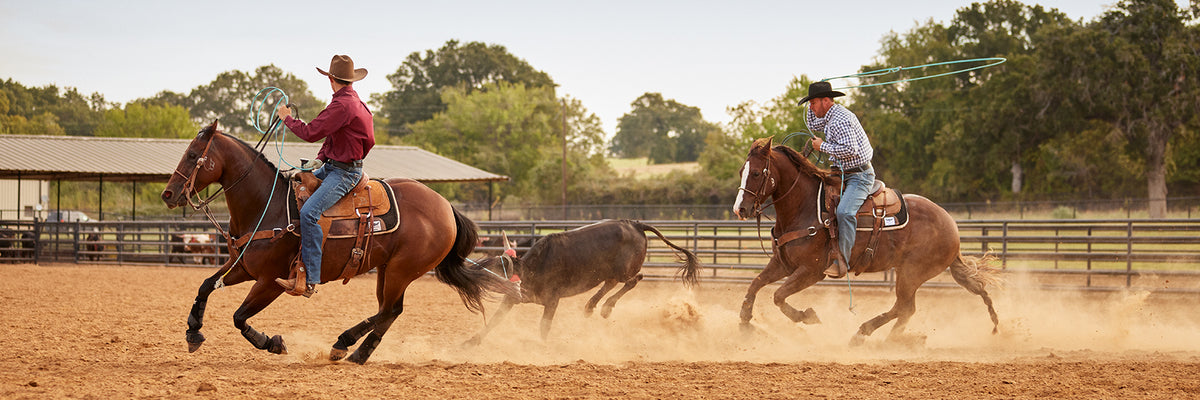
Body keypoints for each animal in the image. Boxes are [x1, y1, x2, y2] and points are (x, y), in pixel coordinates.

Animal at [159, 120, 516, 362]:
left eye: (192, 154)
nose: (168, 194)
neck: (267, 206)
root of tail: (444, 206)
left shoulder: (271, 280)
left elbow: (239, 317)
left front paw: (273, 343)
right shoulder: (243, 265)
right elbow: (206, 285)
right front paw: (193, 330)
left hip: (402, 270)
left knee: (390, 310)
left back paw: (347, 346)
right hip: (387, 268)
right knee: (389, 311)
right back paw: (352, 350)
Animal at [729, 136, 1003, 343]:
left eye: (756, 172)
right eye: (742, 171)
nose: (740, 209)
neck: (804, 207)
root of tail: (951, 226)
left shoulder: (812, 270)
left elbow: (778, 295)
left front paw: (808, 316)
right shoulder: (783, 264)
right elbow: (755, 285)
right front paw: (744, 324)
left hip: (912, 272)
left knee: (904, 307)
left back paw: (863, 334)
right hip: (908, 272)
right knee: (906, 309)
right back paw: (889, 339)